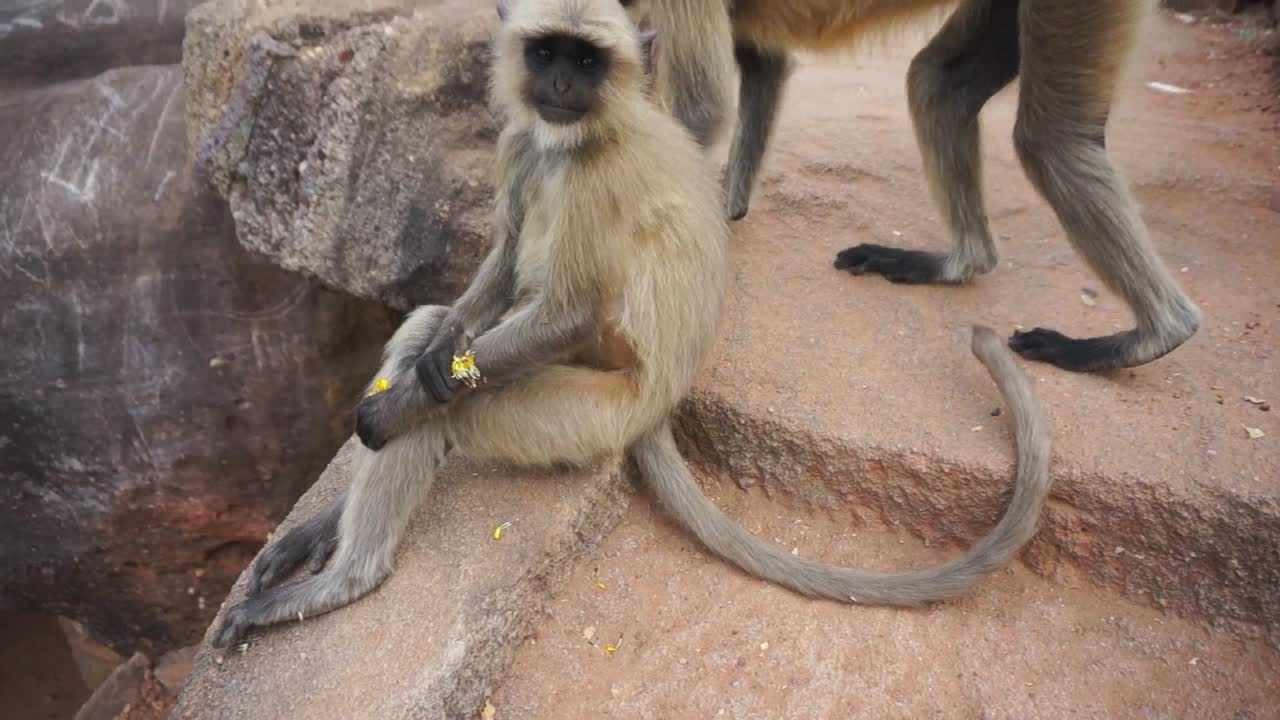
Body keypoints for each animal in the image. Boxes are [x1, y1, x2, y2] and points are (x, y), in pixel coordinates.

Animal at [211, 0, 1053, 649]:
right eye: (547, 53)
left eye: (587, 62)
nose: (558, 83)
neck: (586, 133)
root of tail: (660, 400)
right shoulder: (522, 141)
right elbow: (496, 269)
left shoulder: (594, 179)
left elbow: (557, 315)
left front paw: (384, 417)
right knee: (427, 329)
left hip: (584, 413)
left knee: (455, 406)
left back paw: (347, 578)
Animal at [636, 0, 1202, 374]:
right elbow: (765, 65)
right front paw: (721, 212)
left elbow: (702, 111)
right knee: (939, 85)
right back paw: (957, 262)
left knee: (1050, 141)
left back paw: (1152, 337)